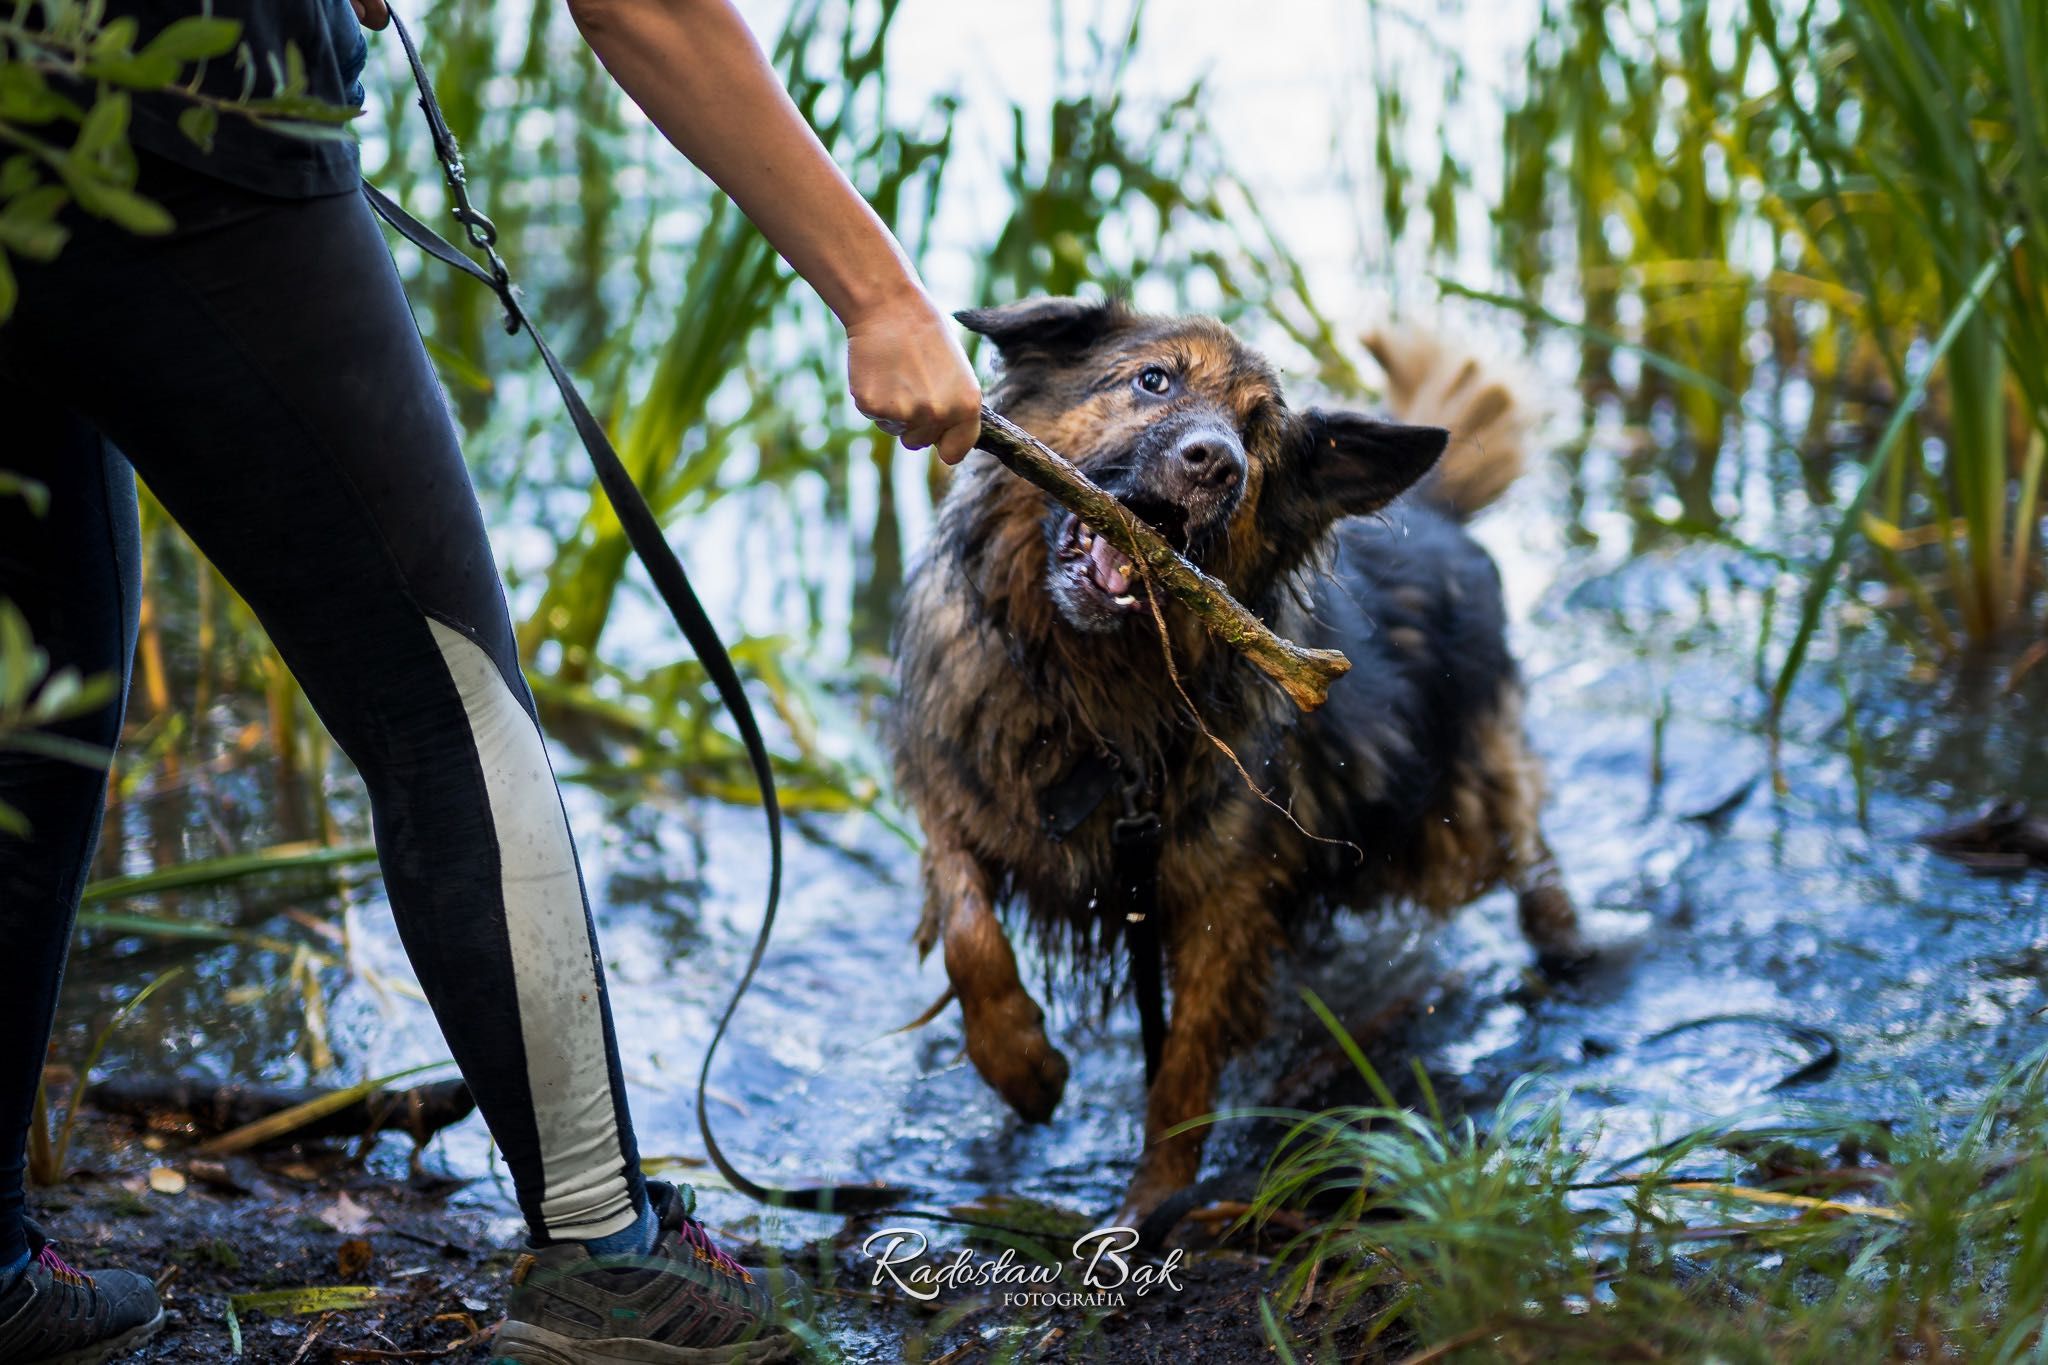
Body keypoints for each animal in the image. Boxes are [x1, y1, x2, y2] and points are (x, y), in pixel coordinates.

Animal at [892, 300, 1581, 1219]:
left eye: (1258, 434)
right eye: (1153, 380)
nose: (1216, 460)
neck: (1095, 694)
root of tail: (1436, 508)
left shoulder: (1225, 900)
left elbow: (1183, 1066)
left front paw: (1152, 1200)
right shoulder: (956, 797)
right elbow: (970, 927)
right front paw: (1022, 1065)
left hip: (1464, 809)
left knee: (1529, 852)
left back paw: (1569, 948)